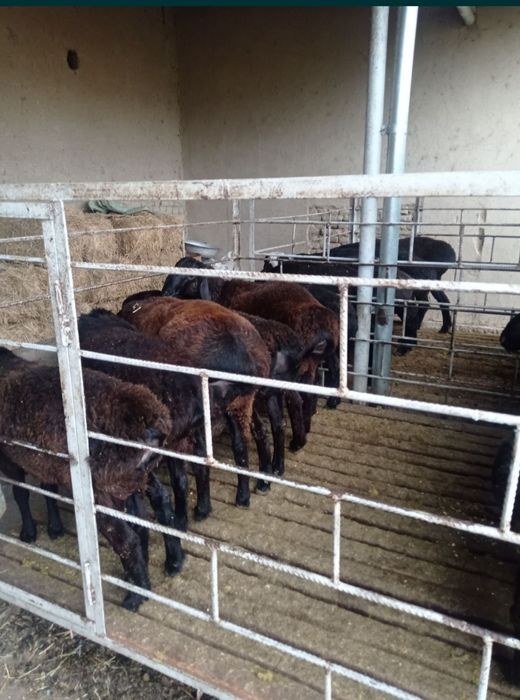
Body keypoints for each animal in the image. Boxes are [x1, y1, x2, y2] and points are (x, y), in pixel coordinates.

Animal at [0, 347, 174, 611]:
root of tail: (152, 426)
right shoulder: (48, 460)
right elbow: (46, 487)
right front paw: (54, 527)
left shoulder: (9, 458)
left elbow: (21, 492)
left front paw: (28, 533)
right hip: (133, 477)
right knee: (152, 509)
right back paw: (163, 566)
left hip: (101, 484)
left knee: (127, 538)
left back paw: (136, 595)